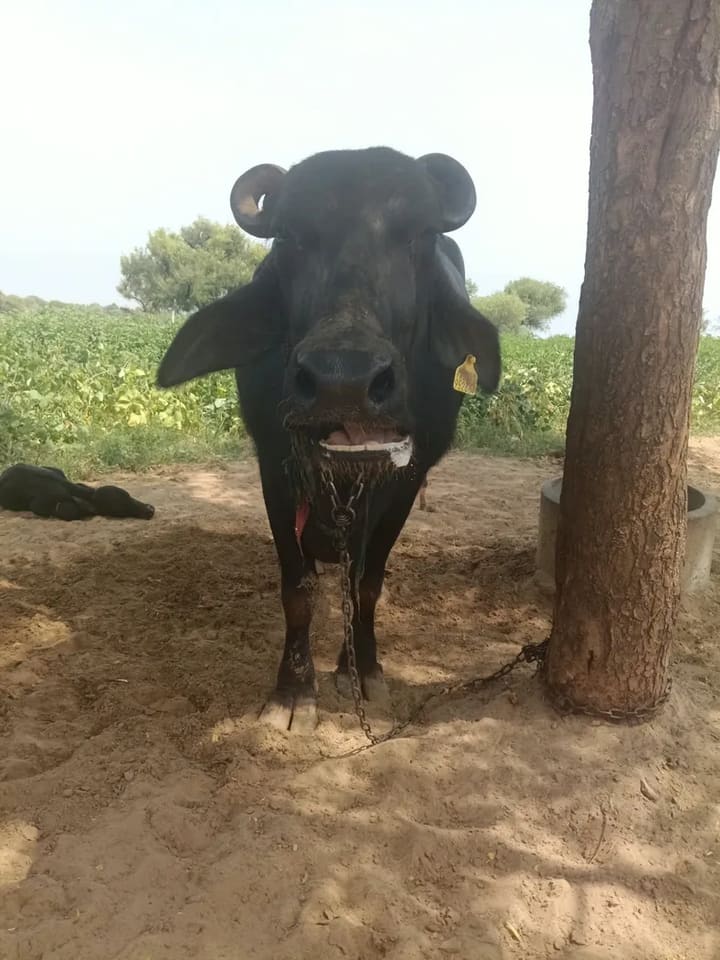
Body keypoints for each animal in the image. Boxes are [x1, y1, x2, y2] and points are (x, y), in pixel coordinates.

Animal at [158, 147, 500, 733]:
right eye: (290, 236)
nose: (345, 381)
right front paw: (294, 692)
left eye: (419, 234)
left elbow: (365, 585)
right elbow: (299, 591)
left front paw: (364, 670)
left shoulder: (404, 483)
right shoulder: (276, 470)